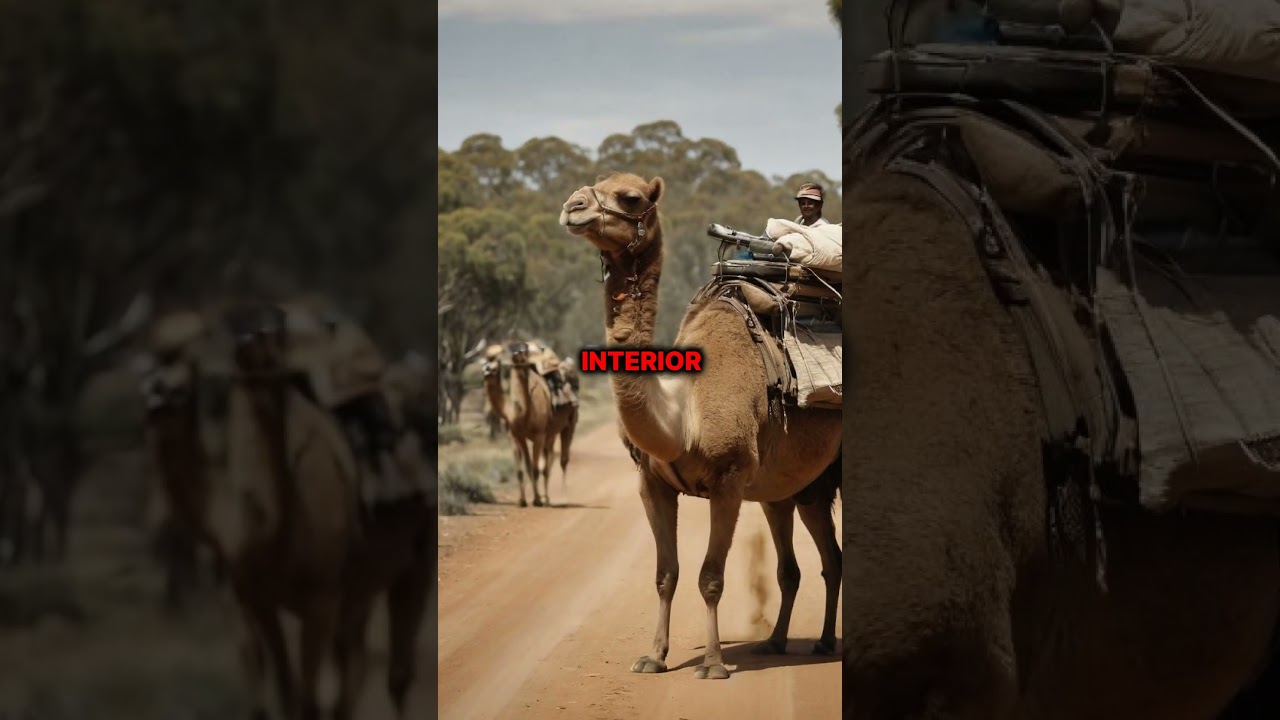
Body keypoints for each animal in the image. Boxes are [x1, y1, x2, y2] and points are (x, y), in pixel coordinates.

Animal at [141, 308, 431, 720]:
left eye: (184, 377)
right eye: (154, 369)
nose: (158, 394)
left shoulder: (319, 601)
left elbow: (306, 700)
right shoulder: (251, 597)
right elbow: (280, 693)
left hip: (415, 560)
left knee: (396, 673)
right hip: (360, 582)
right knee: (354, 662)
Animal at [558, 173, 842, 679]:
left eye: (630, 197)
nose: (573, 207)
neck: (682, 414)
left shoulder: (728, 479)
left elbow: (710, 577)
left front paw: (712, 664)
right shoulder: (651, 482)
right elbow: (664, 574)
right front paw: (653, 656)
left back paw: (824, 642)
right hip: (795, 486)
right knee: (806, 564)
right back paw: (782, 641)